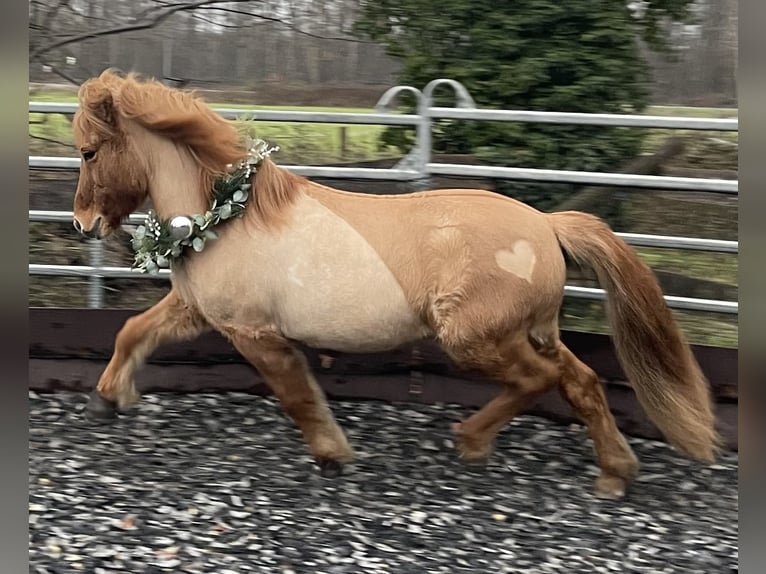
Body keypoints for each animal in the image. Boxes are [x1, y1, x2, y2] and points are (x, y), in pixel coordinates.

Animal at [70, 69, 719, 498]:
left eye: (89, 151)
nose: (82, 224)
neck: (227, 216)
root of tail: (546, 226)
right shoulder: (196, 309)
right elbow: (133, 332)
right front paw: (109, 397)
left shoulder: (255, 333)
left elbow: (297, 396)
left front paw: (334, 455)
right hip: (531, 331)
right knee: (580, 382)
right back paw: (614, 473)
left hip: (475, 339)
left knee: (540, 381)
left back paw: (474, 440)